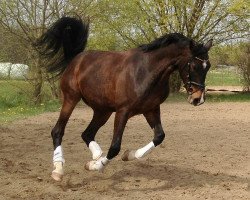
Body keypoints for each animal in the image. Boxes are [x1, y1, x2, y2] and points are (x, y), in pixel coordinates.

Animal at [36, 16, 212, 180]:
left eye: (208, 66)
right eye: (193, 65)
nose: (198, 99)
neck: (147, 71)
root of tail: (77, 58)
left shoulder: (151, 109)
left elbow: (159, 136)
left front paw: (128, 155)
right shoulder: (123, 111)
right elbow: (115, 146)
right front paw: (98, 166)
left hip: (103, 111)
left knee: (87, 134)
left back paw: (94, 156)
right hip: (71, 98)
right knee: (58, 131)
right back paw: (58, 170)